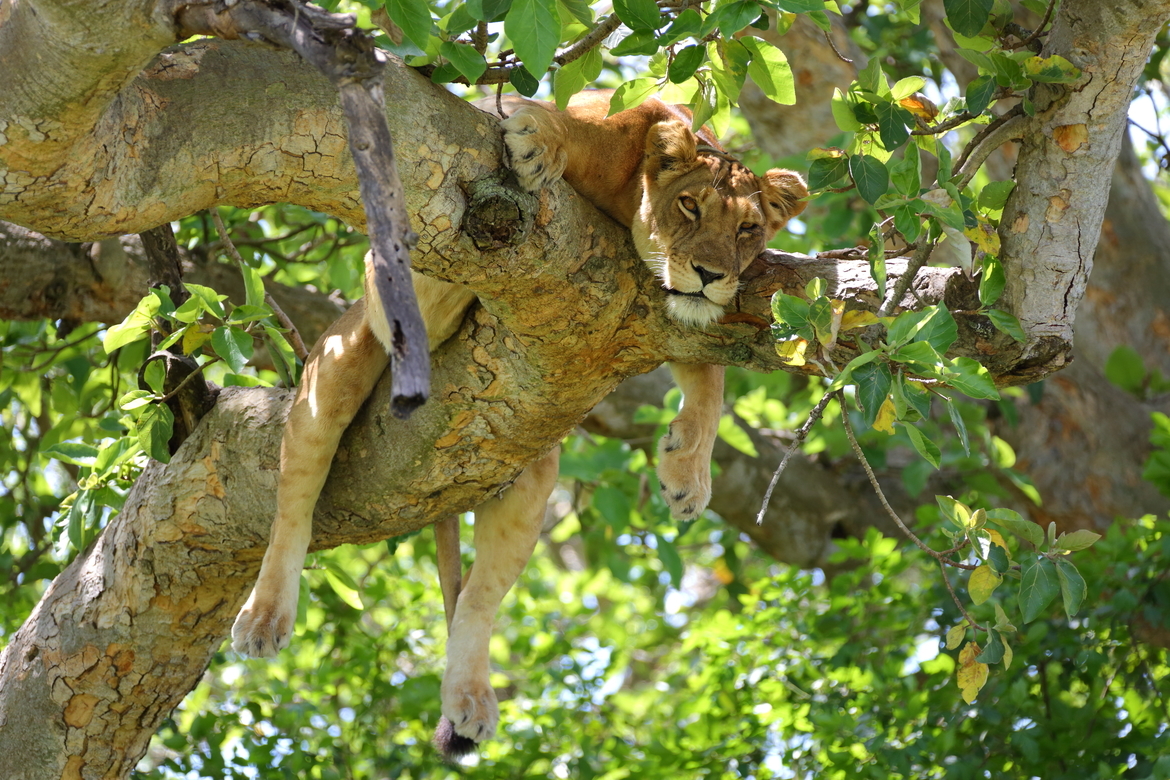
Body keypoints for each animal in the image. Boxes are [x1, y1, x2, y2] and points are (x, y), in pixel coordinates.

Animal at [230, 89, 807, 758]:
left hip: (530, 465)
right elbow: (580, 127)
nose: (712, 275)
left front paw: (689, 472)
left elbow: (709, 377)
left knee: (479, 599)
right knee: (294, 501)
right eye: (690, 205)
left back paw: (470, 699)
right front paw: (540, 137)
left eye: (747, 230)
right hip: (337, 363)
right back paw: (266, 616)